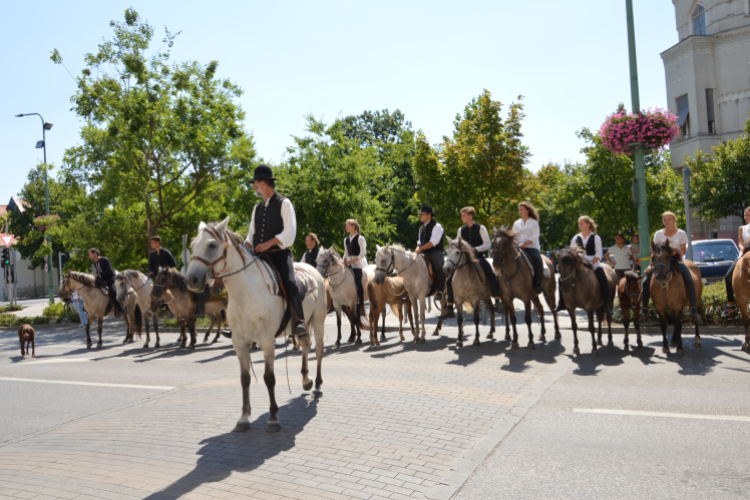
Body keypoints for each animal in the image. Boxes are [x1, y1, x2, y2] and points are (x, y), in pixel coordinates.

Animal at [185, 219, 326, 434]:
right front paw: (244, 417)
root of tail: (312, 270)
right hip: (301, 325)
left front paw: (273, 417)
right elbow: (245, 379)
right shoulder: (240, 343)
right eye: (192, 245)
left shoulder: (267, 342)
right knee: (305, 345)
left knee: (317, 350)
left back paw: (317, 384)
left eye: (212, 245)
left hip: (318, 320)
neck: (246, 293)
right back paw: (306, 380)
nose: (191, 280)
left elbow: (269, 378)